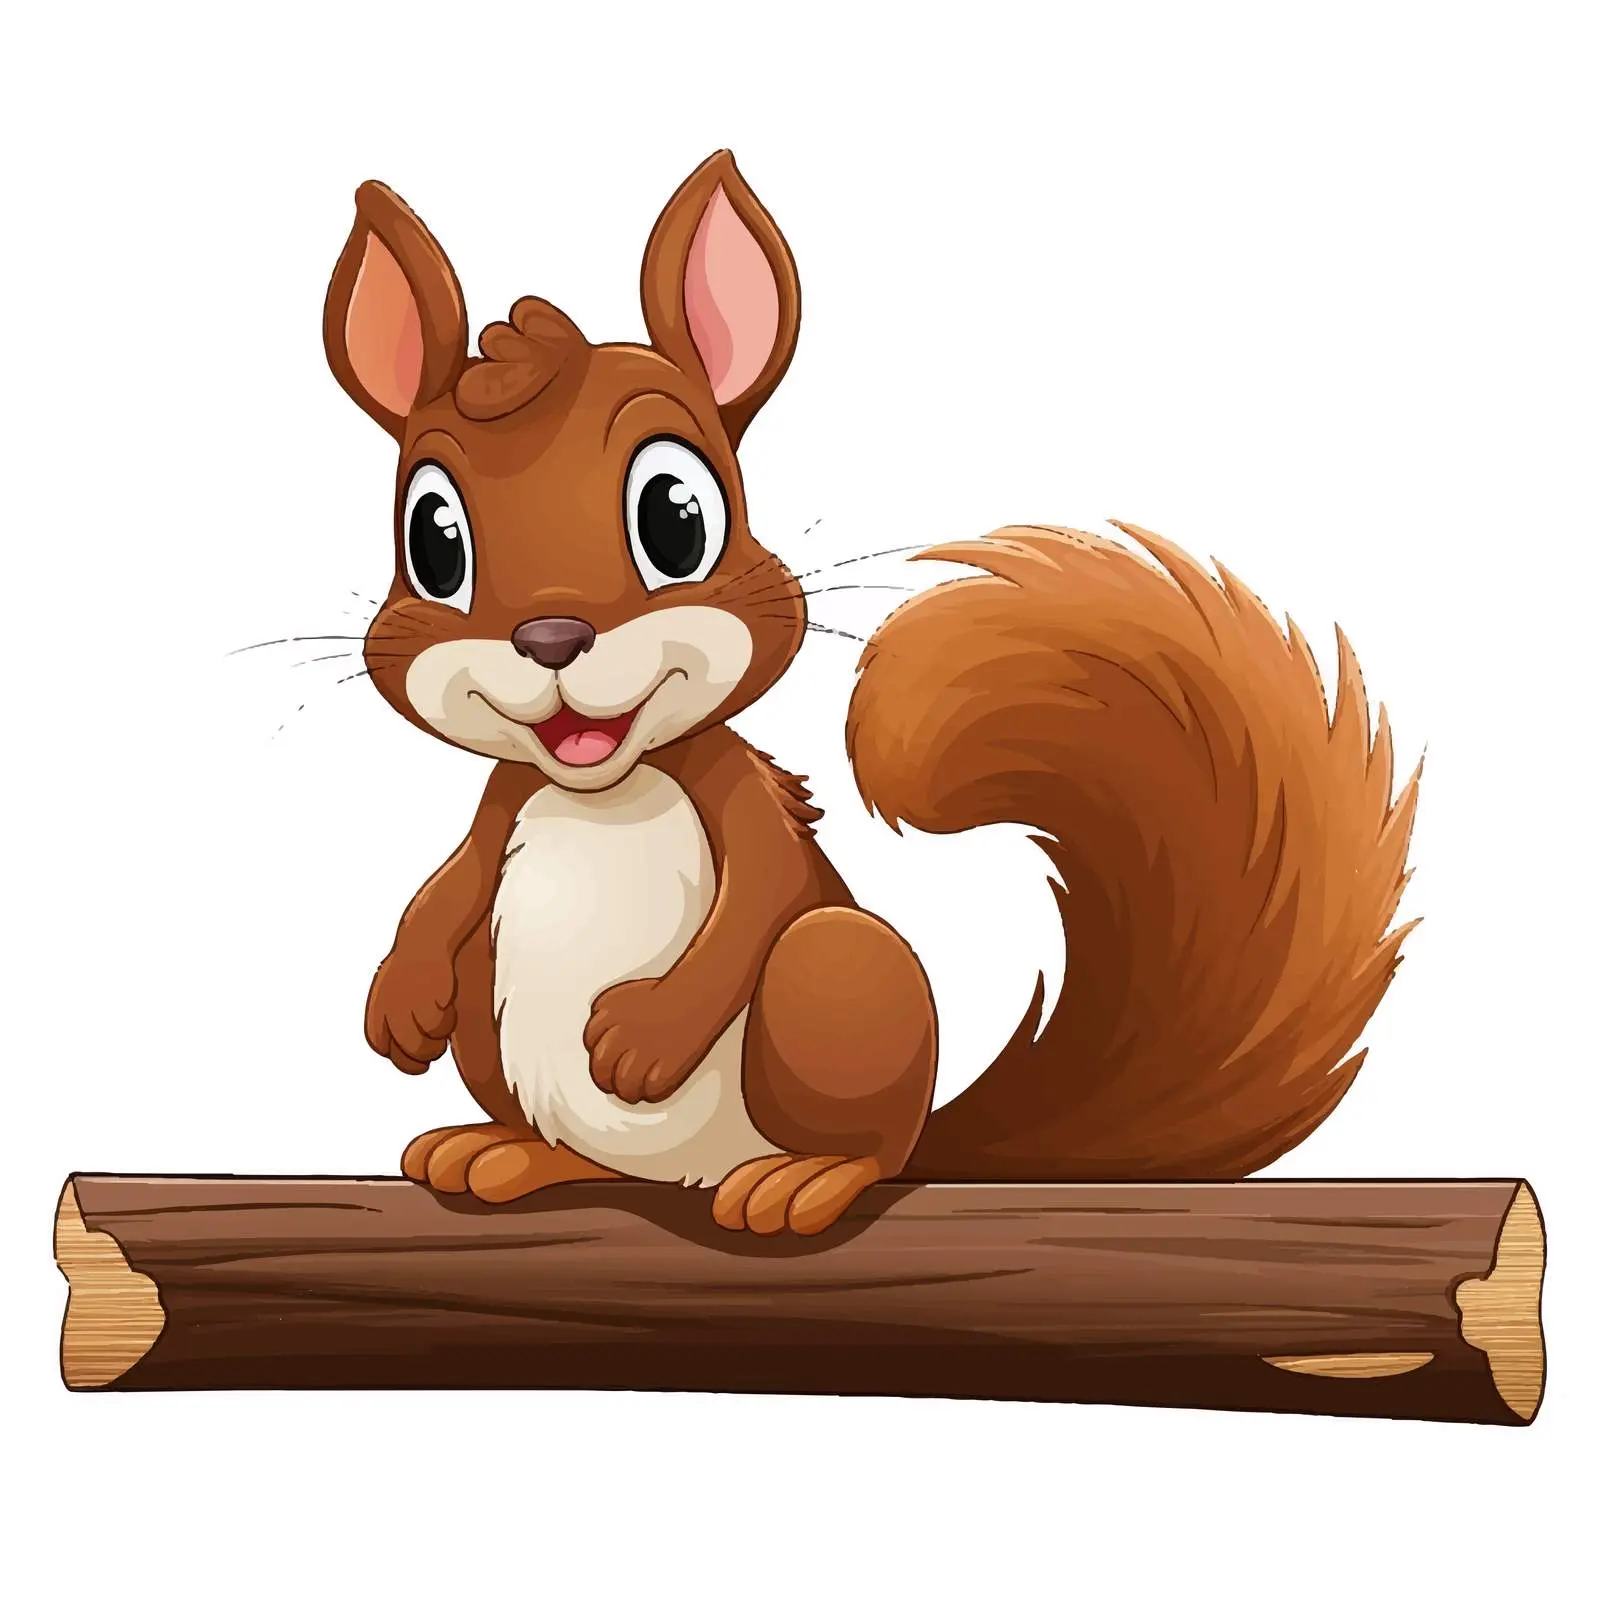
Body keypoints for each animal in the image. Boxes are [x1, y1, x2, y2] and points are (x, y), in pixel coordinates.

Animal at [322, 150, 1420, 1236]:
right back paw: (504, 1152)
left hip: (836, 972)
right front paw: (398, 998)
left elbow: (759, 893)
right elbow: (449, 884)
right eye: (432, 540)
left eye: (677, 516)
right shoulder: (504, 801)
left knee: (858, 1113)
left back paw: (801, 1177)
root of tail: (678, 1179)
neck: (604, 785)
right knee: (561, 1127)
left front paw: (646, 1035)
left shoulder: (733, 793)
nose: (551, 636)